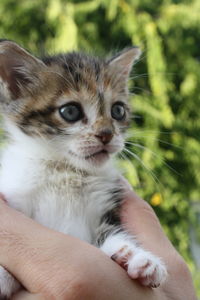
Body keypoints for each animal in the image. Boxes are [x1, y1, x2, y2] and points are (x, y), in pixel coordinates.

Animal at [0, 40, 167, 298]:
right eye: (70, 111)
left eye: (118, 110)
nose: (106, 135)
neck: (66, 171)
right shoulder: (16, 194)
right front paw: (2, 274)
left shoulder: (106, 206)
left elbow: (113, 231)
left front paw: (135, 256)